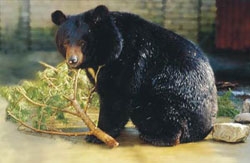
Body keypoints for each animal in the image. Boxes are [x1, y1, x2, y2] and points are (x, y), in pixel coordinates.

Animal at [50, 5, 217, 146]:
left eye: (83, 43)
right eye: (65, 42)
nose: (72, 60)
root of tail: (206, 128)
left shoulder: (128, 60)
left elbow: (116, 96)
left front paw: (97, 135)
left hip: (172, 95)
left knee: (168, 115)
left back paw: (156, 137)